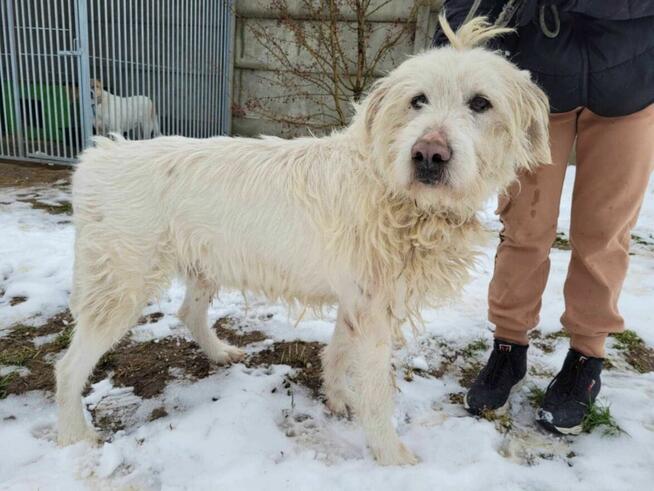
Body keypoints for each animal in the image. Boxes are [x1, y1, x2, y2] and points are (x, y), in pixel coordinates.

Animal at [56, 16, 552, 468]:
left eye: (481, 103)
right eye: (418, 100)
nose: (429, 155)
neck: (390, 185)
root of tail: (101, 154)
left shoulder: (356, 303)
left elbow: (337, 353)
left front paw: (336, 399)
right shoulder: (372, 313)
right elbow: (377, 391)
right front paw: (390, 456)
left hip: (202, 265)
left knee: (188, 313)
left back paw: (218, 353)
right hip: (118, 289)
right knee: (69, 366)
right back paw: (75, 435)